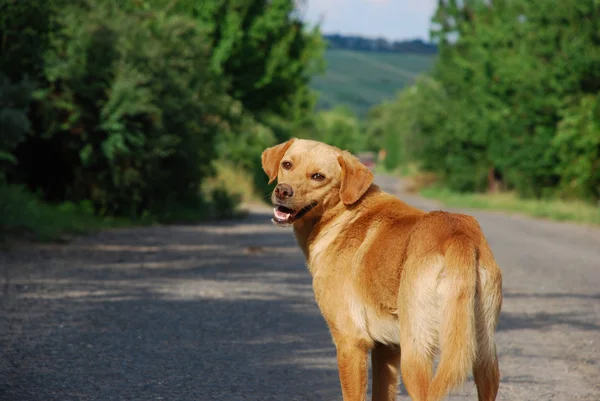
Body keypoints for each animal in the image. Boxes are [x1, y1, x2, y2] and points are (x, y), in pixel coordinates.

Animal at [262, 139, 502, 400]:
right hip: (484, 357)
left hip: (415, 356)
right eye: (287, 164)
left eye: (318, 176)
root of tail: (458, 236)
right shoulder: (386, 348)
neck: (342, 215)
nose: (282, 191)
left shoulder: (350, 342)